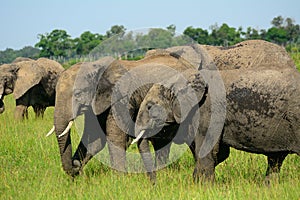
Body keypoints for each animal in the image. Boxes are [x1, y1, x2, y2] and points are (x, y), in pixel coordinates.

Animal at [134, 59, 300, 183]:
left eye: (149, 106)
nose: (155, 184)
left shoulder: (209, 109)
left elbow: (208, 149)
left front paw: (204, 187)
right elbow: (219, 153)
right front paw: (197, 182)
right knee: (275, 161)